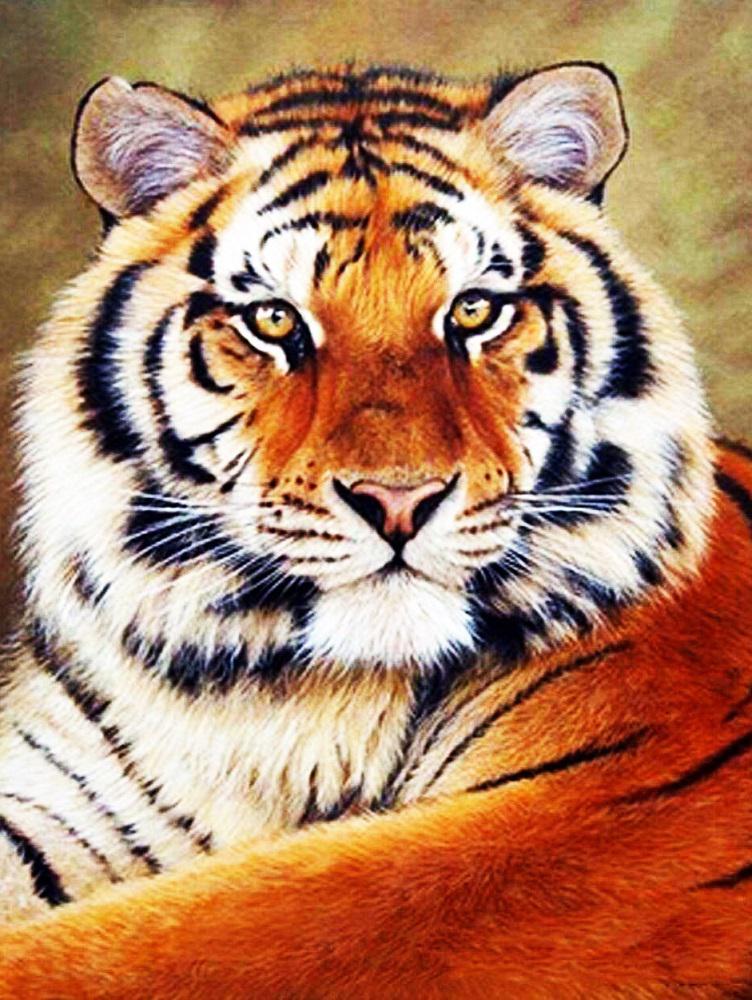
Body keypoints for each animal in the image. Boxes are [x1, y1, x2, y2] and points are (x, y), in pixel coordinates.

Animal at [0, 59, 751, 998]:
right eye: (274, 320)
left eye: (473, 312)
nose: (399, 501)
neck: (274, 699)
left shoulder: (587, 815)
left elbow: (169, 941)